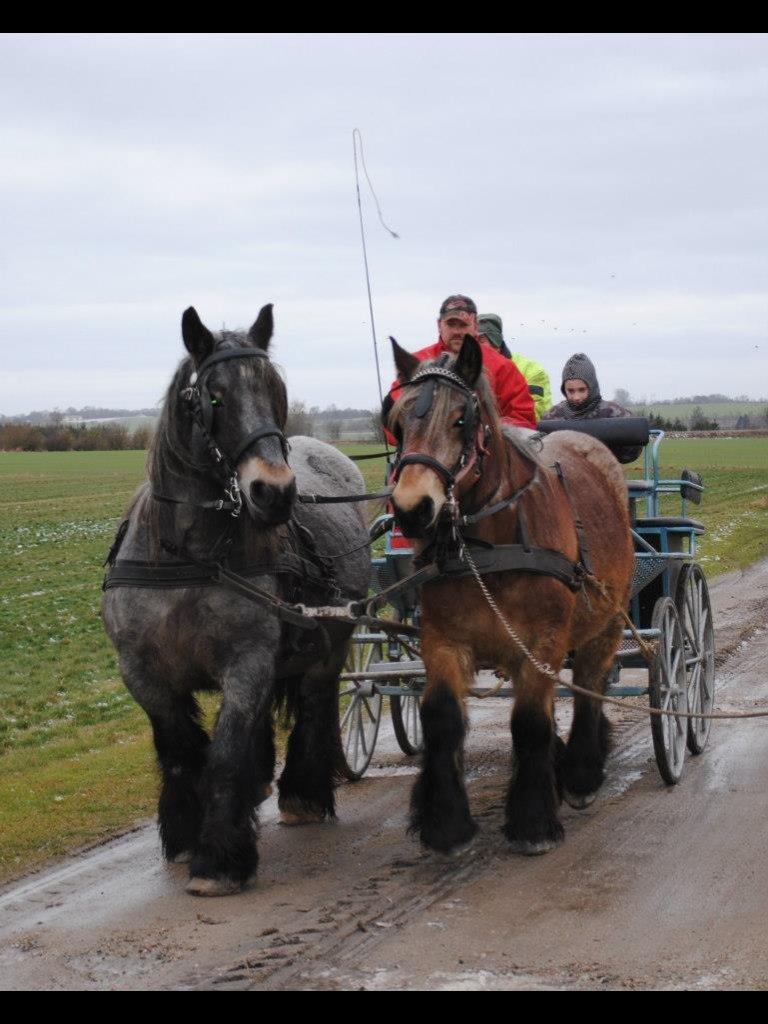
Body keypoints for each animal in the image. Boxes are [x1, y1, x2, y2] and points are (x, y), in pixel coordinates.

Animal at [100, 305, 370, 897]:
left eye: (276, 391)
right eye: (214, 397)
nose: (275, 492)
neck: (188, 556)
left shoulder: (248, 661)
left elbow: (224, 753)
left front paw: (219, 859)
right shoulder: (142, 671)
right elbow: (181, 754)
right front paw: (184, 833)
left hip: (329, 643)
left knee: (316, 703)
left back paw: (303, 792)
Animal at [387, 335, 634, 856]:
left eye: (462, 418)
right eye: (396, 421)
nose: (412, 509)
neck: (486, 546)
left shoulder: (542, 641)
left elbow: (529, 723)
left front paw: (532, 821)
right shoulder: (442, 640)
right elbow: (441, 719)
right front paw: (447, 825)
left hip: (606, 622)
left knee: (591, 685)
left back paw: (581, 772)